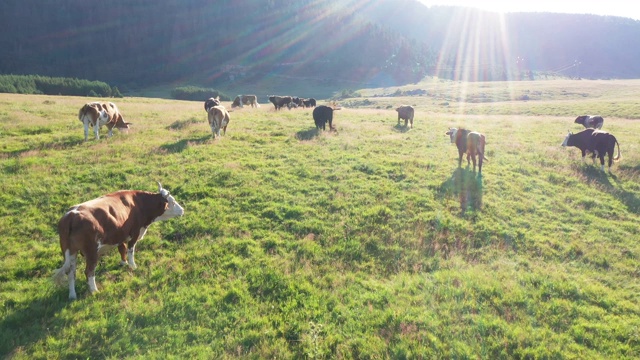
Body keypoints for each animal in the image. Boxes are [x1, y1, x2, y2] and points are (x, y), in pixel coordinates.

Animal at [52, 181, 184, 300]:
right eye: (172, 202)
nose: (182, 210)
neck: (139, 204)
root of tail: (71, 215)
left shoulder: (120, 234)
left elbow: (122, 249)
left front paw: (123, 263)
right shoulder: (135, 233)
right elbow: (130, 250)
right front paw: (133, 266)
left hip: (70, 252)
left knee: (71, 273)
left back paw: (72, 295)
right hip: (91, 252)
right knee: (89, 271)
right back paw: (94, 291)